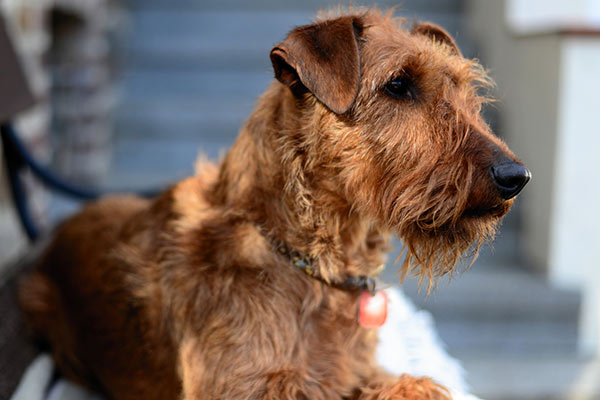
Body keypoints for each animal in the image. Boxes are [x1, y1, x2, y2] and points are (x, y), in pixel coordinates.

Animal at [19, 7, 528, 400]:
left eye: (465, 90)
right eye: (398, 85)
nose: (515, 177)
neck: (311, 261)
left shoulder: (361, 370)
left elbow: (410, 383)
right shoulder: (246, 387)